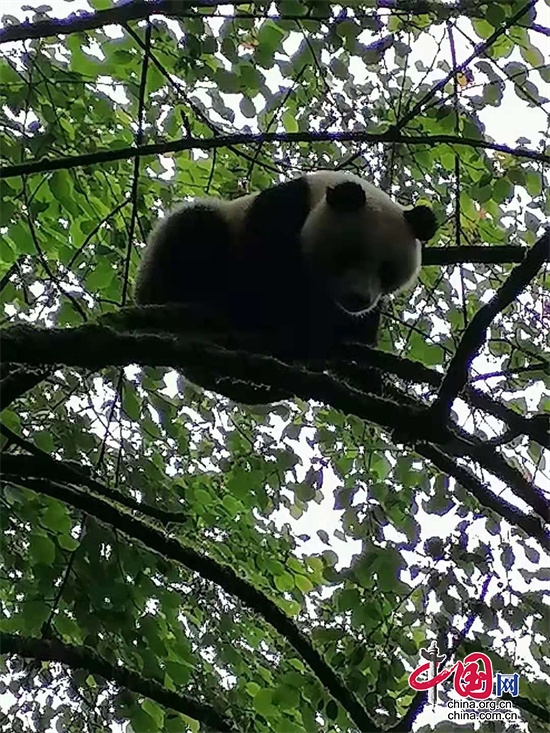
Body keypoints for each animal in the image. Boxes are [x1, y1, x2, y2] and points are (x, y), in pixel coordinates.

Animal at [135, 169, 440, 404]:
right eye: (349, 255)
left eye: (386, 270)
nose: (358, 299)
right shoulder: (282, 212)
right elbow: (266, 278)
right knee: (195, 231)